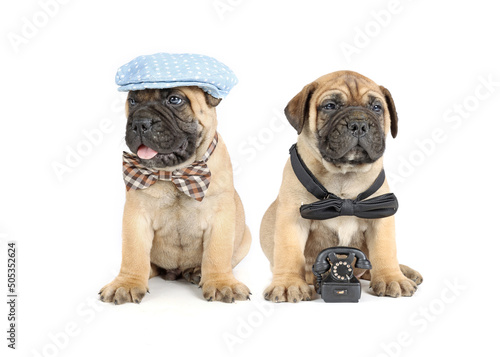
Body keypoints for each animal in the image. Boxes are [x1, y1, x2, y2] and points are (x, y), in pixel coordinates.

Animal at [100, 53, 252, 304]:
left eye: (174, 99)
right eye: (132, 101)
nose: (140, 122)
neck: (175, 174)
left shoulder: (220, 217)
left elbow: (217, 253)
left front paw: (221, 283)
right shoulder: (136, 216)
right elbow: (133, 253)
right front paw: (127, 283)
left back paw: (197, 271)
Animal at [262, 71, 422, 302]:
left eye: (377, 107)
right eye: (330, 106)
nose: (359, 125)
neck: (344, 175)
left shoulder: (381, 213)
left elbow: (385, 250)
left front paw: (392, 278)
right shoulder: (292, 218)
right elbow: (289, 252)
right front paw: (288, 284)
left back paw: (405, 272)